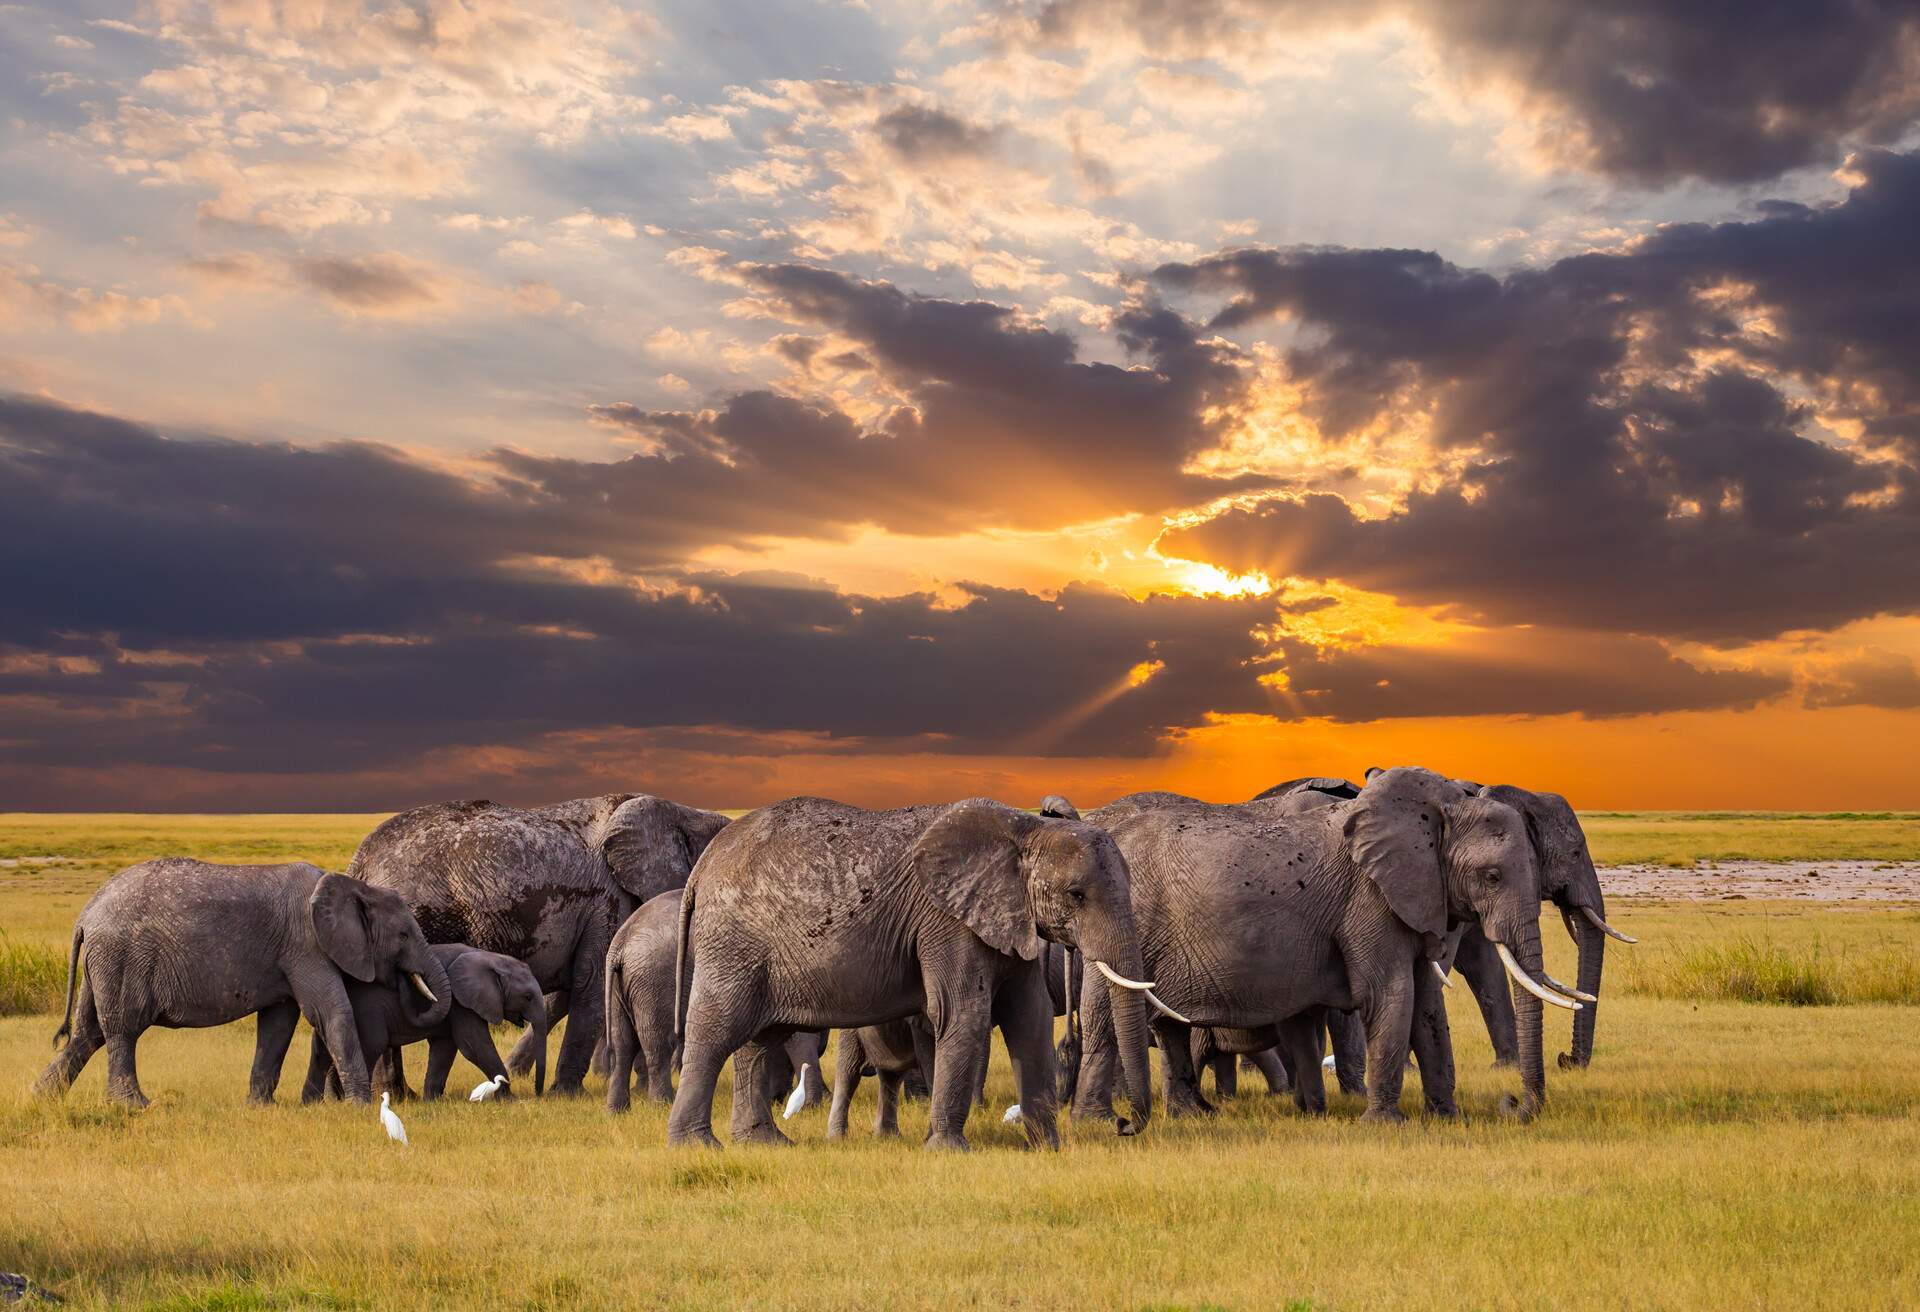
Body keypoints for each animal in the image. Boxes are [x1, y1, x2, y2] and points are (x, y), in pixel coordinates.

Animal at [34, 860, 449, 1106]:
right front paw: (360, 1106)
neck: (353, 885)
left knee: (88, 1033)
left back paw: (41, 1099)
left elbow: (278, 1023)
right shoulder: (306, 944)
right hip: (121, 957)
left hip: (103, 963)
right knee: (121, 1030)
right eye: (404, 935)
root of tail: (86, 915)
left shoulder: (288, 954)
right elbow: (330, 1013)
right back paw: (136, 1106)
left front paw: (262, 1107)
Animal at [303, 945, 549, 1098]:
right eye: (528, 997)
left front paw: (432, 1101)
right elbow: (474, 1046)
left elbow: (445, 1048)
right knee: (371, 1045)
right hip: (367, 1011)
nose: (539, 1094)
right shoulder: (461, 1002)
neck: (491, 957)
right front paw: (509, 1099)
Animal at [349, 795, 729, 1091]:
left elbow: (561, 998)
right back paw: (397, 1095)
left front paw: (518, 1072)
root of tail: (361, 859)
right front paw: (568, 1094)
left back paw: (400, 1095)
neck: (682, 811)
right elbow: (591, 985)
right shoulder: (607, 900)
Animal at [668, 795, 1152, 1152]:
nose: (1124, 1124)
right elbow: (962, 1013)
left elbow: (1028, 1018)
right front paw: (948, 1151)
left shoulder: (1009, 917)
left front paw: (1046, 1148)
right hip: (732, 942)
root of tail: (703, 866)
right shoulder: (945, 920)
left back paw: (764, 1143)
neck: (1026, 829)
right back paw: (696, 1146)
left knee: (759, 1039)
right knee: (717, 1030)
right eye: (1076, 894)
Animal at [1067, 768, 1574, 1129]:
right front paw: (1385, 1126)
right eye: (1492, 876)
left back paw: (1192, 1115)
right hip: (1116, 928)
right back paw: (1099, 1123)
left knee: (1169, 1028)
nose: (1515, 1104)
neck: (1440, 806)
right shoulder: (1368, 900)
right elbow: (1389, 995)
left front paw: (1448, 1119)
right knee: (1105, 1018)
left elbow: (1428, 1006)